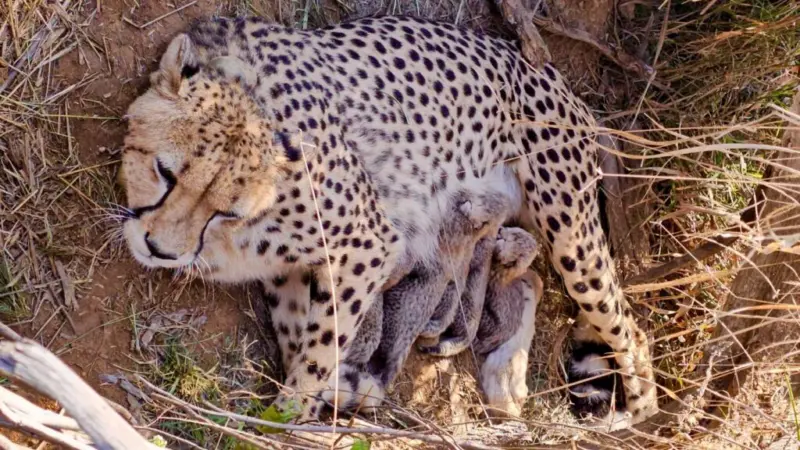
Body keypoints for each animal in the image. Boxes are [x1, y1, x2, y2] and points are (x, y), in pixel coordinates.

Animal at [119, 14, 658, 427]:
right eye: (164, 172)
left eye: (225, 209)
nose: (160, 249)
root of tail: (544, 68)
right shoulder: (290, 270)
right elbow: (300, 337)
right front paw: (334, 393)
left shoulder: (368, 243)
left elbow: (320, 348)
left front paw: (291, 416)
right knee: (531, 281)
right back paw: (506, 378)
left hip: (572, 235)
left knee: (631, 330)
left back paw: (632, 413)